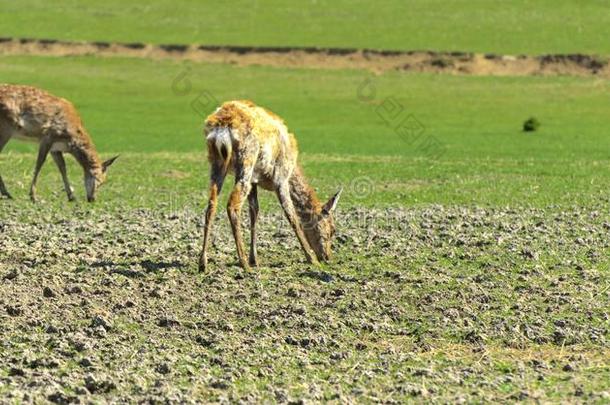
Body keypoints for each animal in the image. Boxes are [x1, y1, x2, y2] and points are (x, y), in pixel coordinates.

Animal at [200, 100, 342, 272]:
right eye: (332, 229)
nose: (327, 257)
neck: (293, 166)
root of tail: (221, 130)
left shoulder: (254, 181)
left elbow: (255, 212)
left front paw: (255, 259)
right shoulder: (281, 177)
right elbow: (291, 215)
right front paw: (311, 258)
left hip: (216, 162)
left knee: (211, 204)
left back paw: (203, 263)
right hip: (246, 160)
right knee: (232, 205)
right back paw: (243, 263)